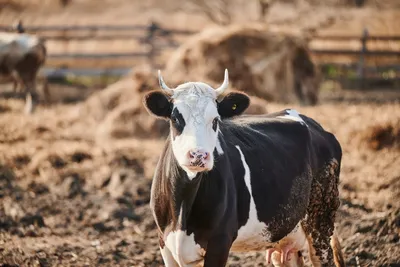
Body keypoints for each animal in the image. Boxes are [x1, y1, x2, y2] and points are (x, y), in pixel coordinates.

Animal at [143, 70, 344, 266]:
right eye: (175, 118)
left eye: (215, 120)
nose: (198, 155)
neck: (182, 208)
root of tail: (316, 126)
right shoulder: (164, 242)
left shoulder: (220, 241)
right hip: (284, 233)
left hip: (320, 221)